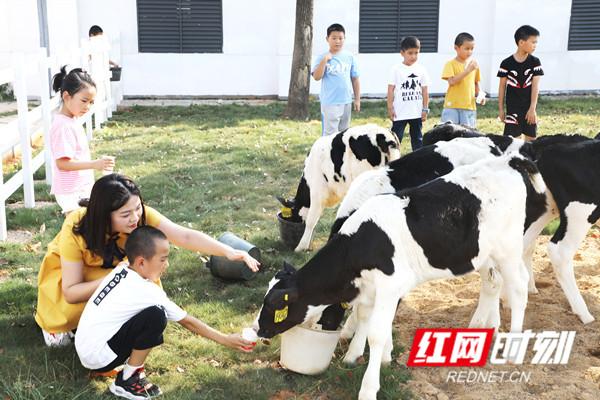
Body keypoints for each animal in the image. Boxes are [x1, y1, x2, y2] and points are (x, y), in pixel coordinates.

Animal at [255, 154, 540, 400]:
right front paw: (359, 356)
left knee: (518, 289)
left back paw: (513, 348)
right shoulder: (370, 289)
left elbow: (376, 333)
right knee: (493, 283)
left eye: (274, 304)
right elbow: (365, 318)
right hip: (484, 254)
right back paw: (481, 329)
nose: (258, 328)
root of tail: (508, 161)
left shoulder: (390, 286)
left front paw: (369, 387)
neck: (363, 243)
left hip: (508, 249)